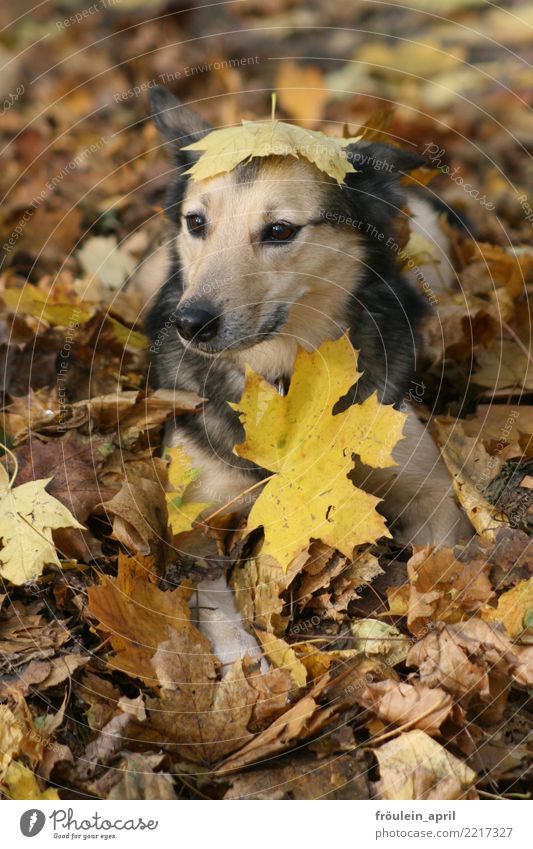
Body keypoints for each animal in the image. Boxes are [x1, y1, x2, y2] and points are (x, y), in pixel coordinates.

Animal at [147, 86, 470, 552]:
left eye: (280, 230)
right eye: (195, 222)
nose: (191, 323)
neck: (284, 374)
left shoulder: (430, 488)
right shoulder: (194, 510)